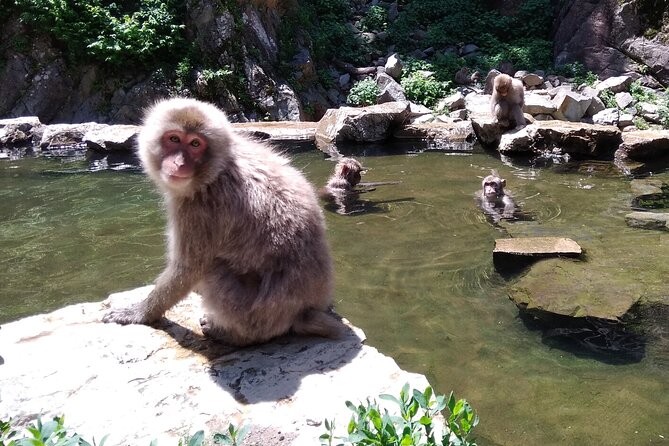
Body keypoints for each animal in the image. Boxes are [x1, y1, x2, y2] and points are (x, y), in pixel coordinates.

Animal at [104, 97, 344, 346]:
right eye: (174, 139)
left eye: (195, 144)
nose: (179, 163)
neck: (216, 171)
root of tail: (301, 313)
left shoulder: (200, 210)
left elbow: (188, 269)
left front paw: (140, 312)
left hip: (254, 314)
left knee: (213, 269)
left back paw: (234, 335)